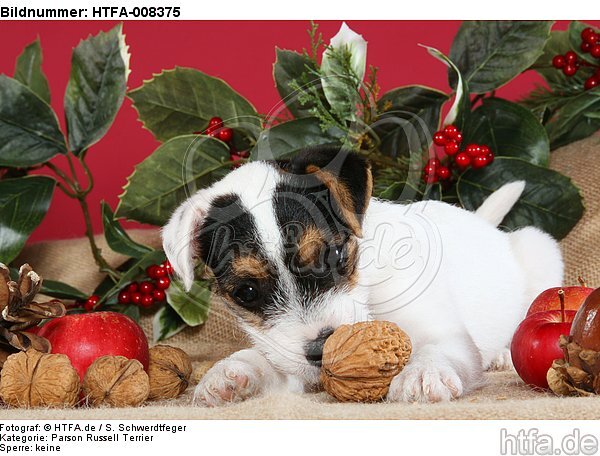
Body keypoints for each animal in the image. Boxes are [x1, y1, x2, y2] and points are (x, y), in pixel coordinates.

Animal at [161, 144, 564, 404]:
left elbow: (438, 348)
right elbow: (270, 361)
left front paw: (422, 373)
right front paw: (231, 372)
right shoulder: (288, 357)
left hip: (538, 250)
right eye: (246, 292)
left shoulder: (446, 334)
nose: (322, 351)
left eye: (336, 253)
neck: (367, 291)